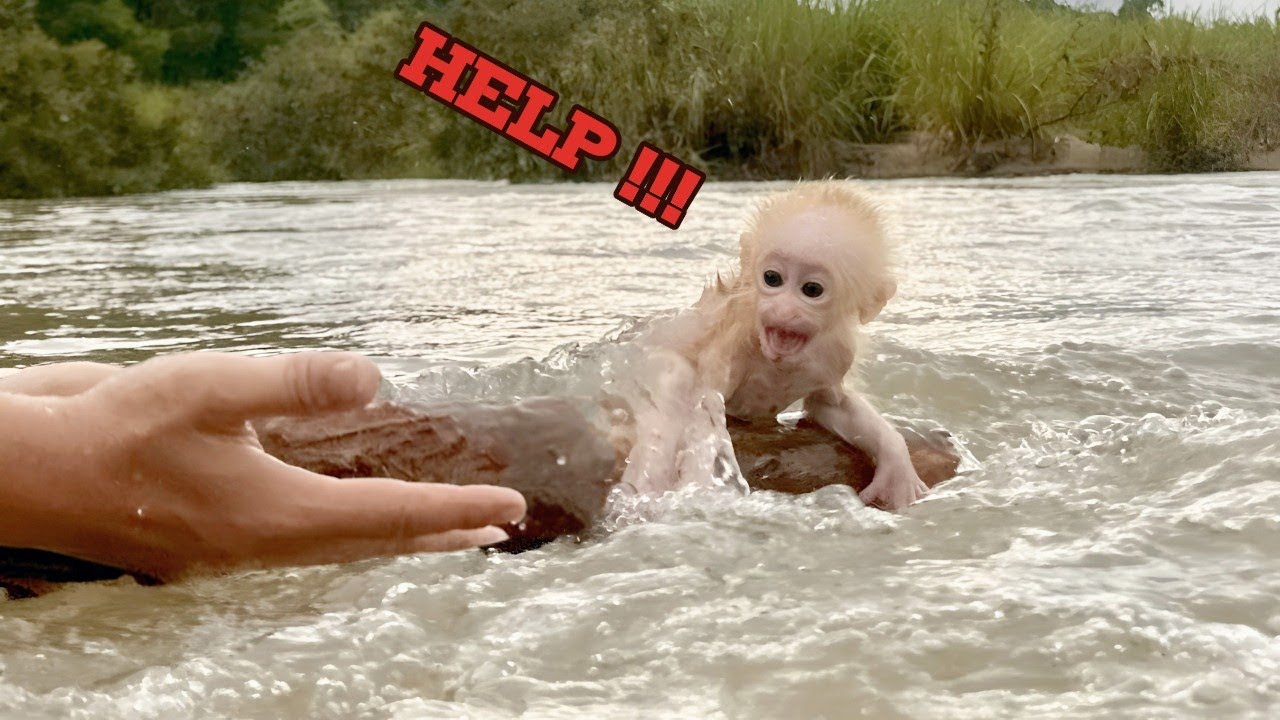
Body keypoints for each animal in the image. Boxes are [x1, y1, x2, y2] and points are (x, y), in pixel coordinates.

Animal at [619, 181, 928, 510]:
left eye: (811, 289)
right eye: (772, 278)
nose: (782, 309)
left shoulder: (834, 354)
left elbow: (829, 405)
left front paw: (896, 463)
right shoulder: (734, 343)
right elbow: (701, 408)